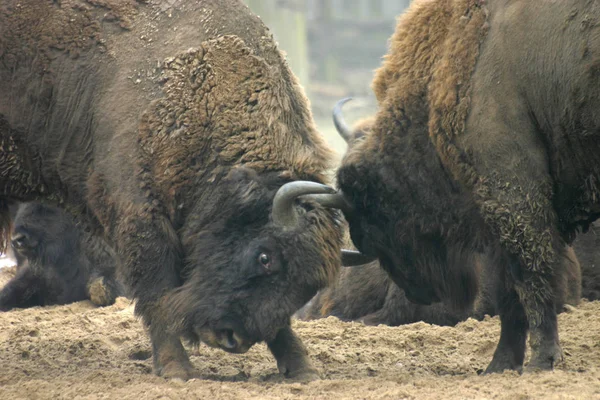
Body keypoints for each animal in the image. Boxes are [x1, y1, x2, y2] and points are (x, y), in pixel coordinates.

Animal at [1, 0, 356, 380]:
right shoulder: (141, 219)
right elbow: (157, 293)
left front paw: (301, 368)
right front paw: (176, 369)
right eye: (265, 257)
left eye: (308, 288)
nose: (232, 338)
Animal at [330, 0, 600, 376]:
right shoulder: (495, 212)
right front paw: (500, 365)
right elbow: (510, 290)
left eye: (376, 215)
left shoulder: (513, 192)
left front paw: (542, 361)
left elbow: (531, 276)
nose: (419, 291)